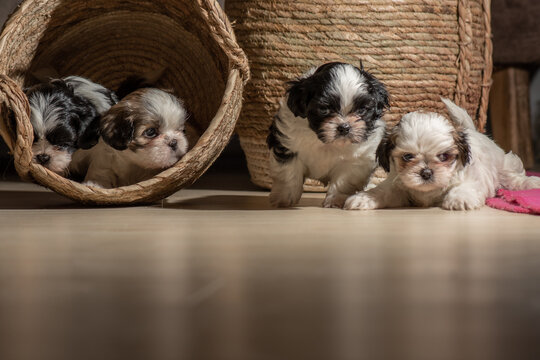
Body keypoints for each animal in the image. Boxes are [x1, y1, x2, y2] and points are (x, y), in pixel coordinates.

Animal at [268, 62, 390, 208]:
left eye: (361, 110)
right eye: (324, 109)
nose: (344, 127)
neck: (326, 143)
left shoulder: (355, 161)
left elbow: (343, 180)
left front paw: (334, 201)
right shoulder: (288, 144)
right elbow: (289, 174)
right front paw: (284, 198)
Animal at [344, 98, 540, 211]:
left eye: (444, 156)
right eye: (408, 157)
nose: (426, 172)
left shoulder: (473, 178)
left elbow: (466, 186)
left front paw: (459, 198)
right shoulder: (398, 187)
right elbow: (382, 191)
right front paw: (364, 198)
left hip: (504, 165)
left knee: (513, 178)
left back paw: (531, 182)